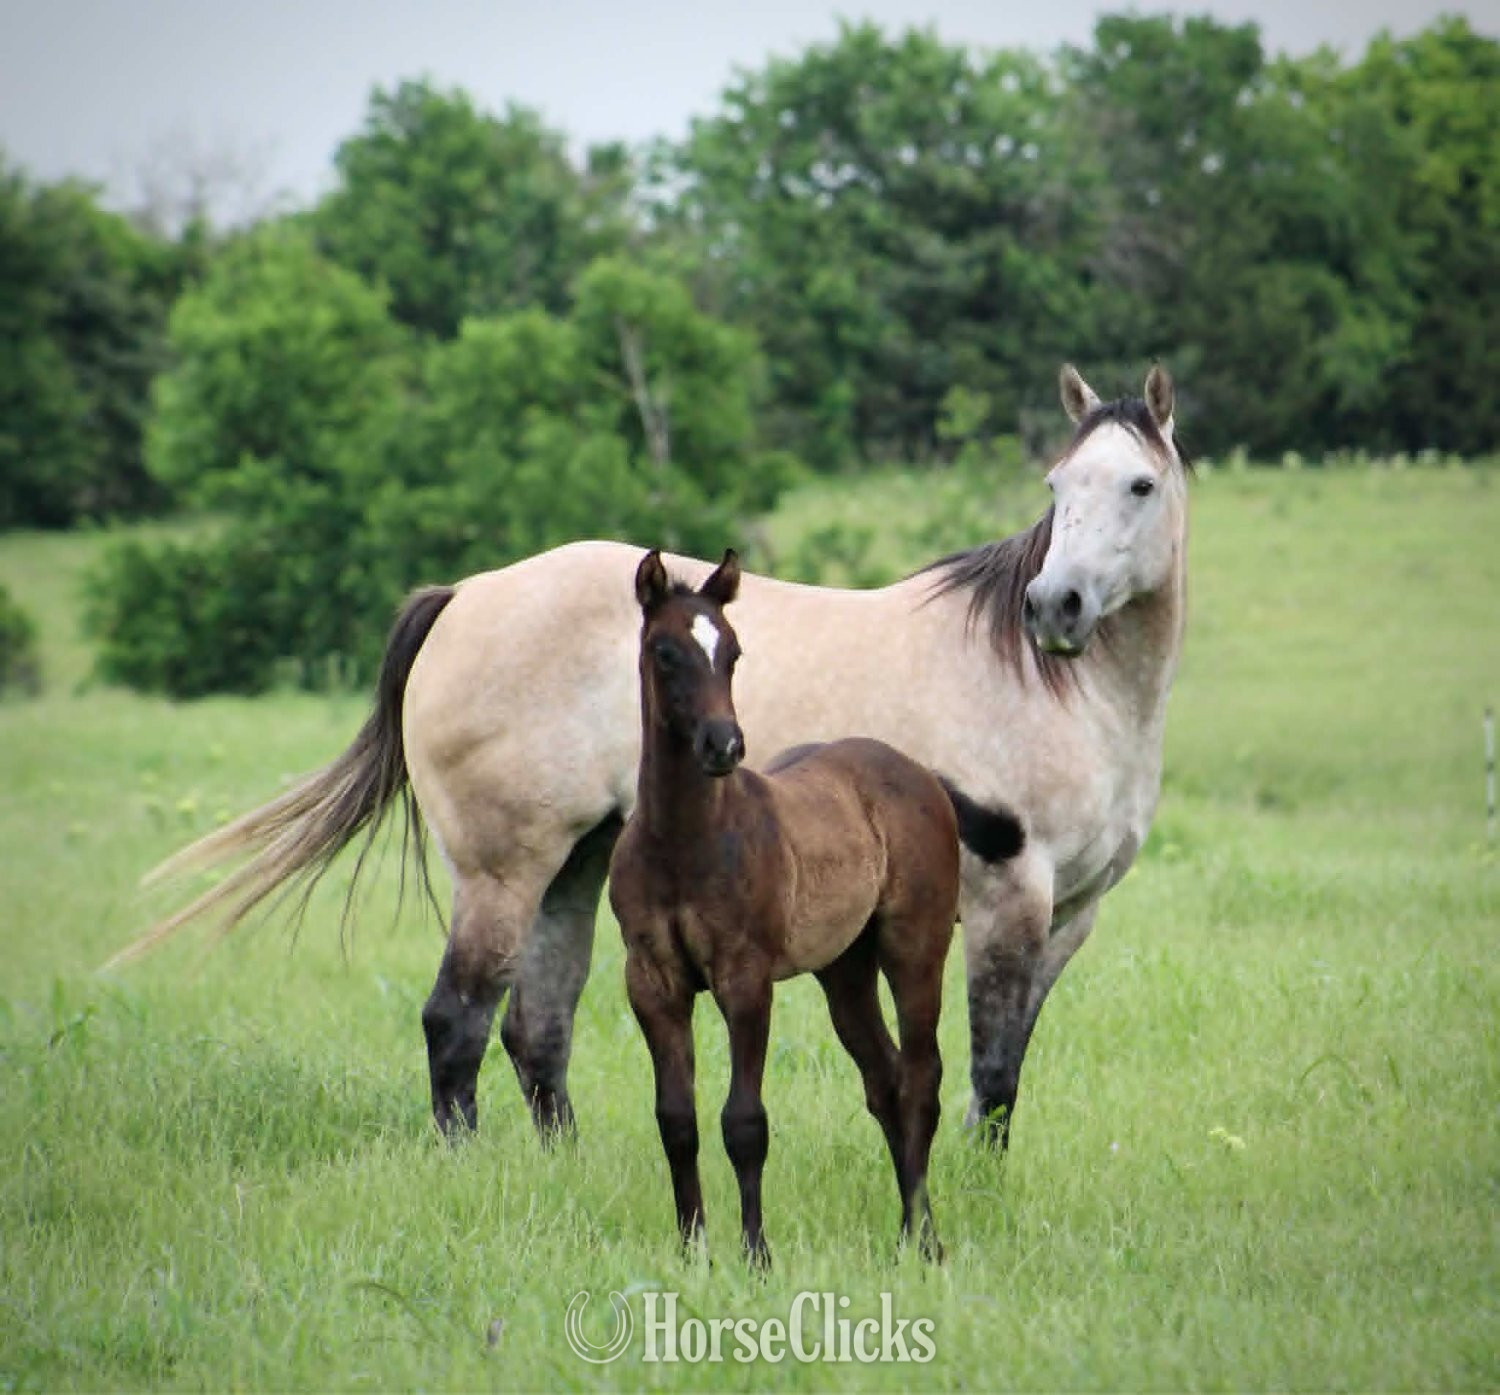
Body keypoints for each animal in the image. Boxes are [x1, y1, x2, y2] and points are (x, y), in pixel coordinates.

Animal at [112, 362, 1189, 1152]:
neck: (1056, 690)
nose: (1053, 608)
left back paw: (565, 1164)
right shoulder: (1010, 891)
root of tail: (464, 596)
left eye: (1139, 485)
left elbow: (1001, 1071)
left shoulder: (1071, 914)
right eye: (1057, 487)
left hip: (575, 864)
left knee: (536, 1027)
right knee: (458, 1020)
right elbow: (991, 1066)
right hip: (504, 871)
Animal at [611, 546, 976, 1264]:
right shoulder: (652, 981)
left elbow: (744, 1121)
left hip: (914, 948)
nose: (723, 745)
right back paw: (907, 1226)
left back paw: (922, 1239)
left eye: (733, 651)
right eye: (665, 651)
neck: (683, 843)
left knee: (922, 1079)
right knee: (886, 1079)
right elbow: (677, 1120)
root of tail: (920, 774)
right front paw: (693, 1251)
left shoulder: (745, 979)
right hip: (845, 968)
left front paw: (756, 1254)